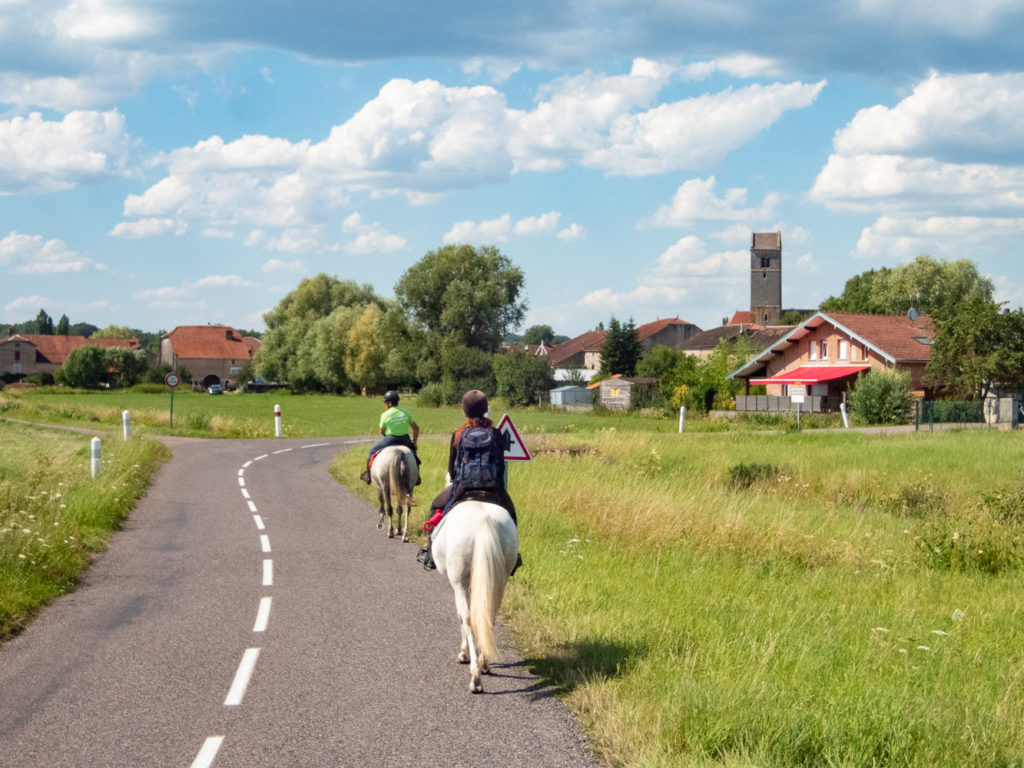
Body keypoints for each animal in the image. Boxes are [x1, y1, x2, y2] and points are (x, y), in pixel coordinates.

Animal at [430, 501, 516, 696]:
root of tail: (484, 521)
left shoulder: (459, 584)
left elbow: (461, 617)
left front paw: (464, 654)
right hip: (499, 580)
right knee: (488, 617)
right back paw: (483, 665)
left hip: (460, 582)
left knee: (468, 619)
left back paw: (475, 678)